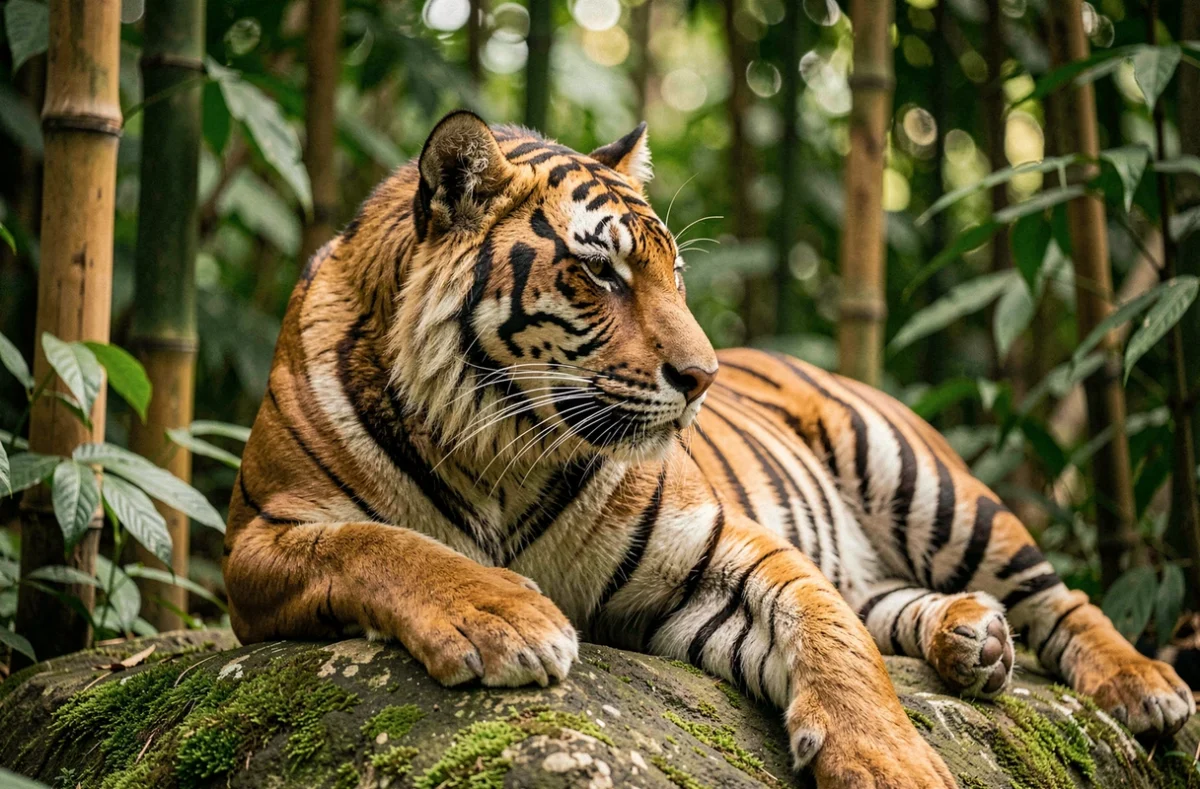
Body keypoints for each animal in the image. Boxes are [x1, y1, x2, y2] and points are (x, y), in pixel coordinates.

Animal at [224, 110, 1194, 788]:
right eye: (600, 271)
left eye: (675, 275)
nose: (703, 376)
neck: (498, 448)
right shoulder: (256, 541)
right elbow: (379, 543)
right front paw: (500, 614)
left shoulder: (717, 547)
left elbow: (831, 632)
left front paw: (891, 760)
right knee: (887, 598)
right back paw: (971, 639)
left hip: (926, 480)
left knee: (1058, 597)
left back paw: (1142, 684)